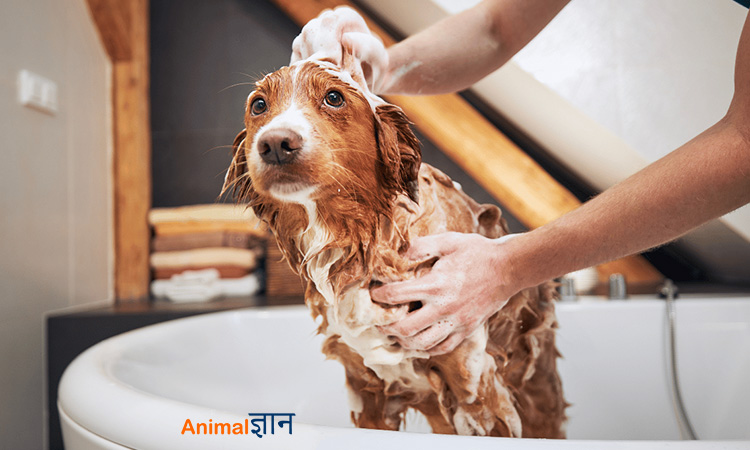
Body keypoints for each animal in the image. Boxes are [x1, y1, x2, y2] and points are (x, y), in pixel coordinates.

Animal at [226, 57, 568, 440]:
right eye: (258, 105)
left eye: (334, 97)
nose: (274, 143)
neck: (359, 242)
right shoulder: (367, 392)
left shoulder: (475, 387)